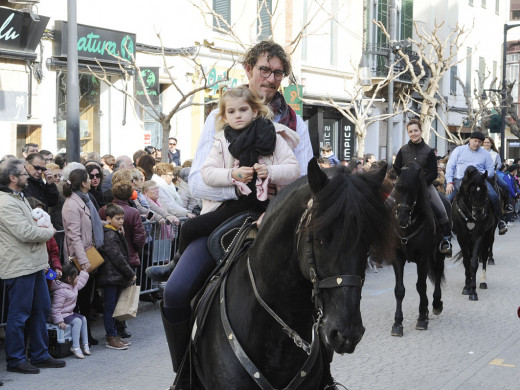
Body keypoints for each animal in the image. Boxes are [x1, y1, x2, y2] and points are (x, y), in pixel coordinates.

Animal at [392, 163, 444, 336]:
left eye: (413, 189)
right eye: (397, 187)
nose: (401, 218)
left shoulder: (422, 258)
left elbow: (421, 286)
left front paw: (421, 319)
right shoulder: (397, 258)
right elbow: (399, 290)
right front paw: (397, 323)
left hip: (438, 254)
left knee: (438, 274)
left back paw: (436, 304)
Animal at [450, 166, 496, 300]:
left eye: (485, 191)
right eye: (470, 192)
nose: (480, 213)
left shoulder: (479, 235)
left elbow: (474, 262)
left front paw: (473, 291)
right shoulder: (461, 236)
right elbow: (466, 262)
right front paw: (467, 287)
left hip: (488, 235)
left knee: (484, 257)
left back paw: (483, 281)